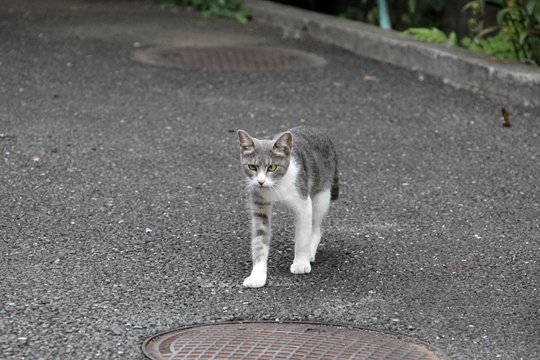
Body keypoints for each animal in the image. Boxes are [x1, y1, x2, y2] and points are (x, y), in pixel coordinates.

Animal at [236, 126, 338, 286]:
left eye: (272, 167)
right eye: (252, 167)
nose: (260, 182)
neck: (276, 187)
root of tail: (318, 131)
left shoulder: (303, 204)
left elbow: (303, 237)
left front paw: (301, 263)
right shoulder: (259, 207)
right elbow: (259, 241)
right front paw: (257, 276)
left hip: (322, 194)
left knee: (316, 227)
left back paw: (310, 253)